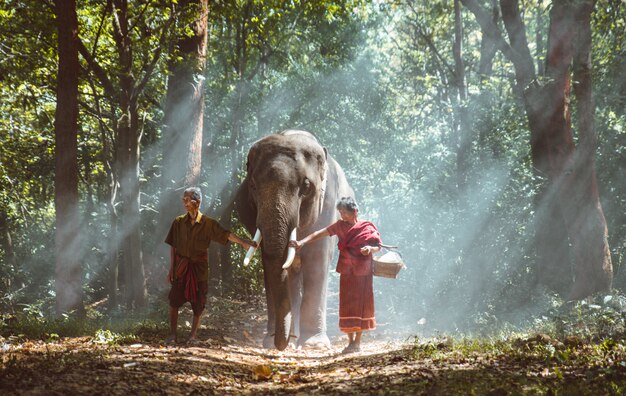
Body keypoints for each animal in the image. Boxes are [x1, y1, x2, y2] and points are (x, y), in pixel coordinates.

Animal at [233, 130, 354, 350]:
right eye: (252, 186)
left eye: (306, 186)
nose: (280, 345)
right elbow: (272, 265)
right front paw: (272, 342)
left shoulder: (328, 205)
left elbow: (316, 261)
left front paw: (314, 345)